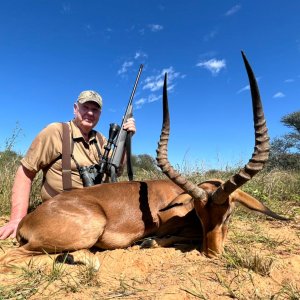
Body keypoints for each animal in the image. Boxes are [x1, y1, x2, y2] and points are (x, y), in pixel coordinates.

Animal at [0, 51, 286, 268]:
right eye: (200, 213)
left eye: (228, 214)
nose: (212, 253)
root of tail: (26, 220)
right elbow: (179, 236)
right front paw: (148, 241)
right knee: (14, 258)